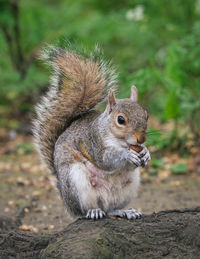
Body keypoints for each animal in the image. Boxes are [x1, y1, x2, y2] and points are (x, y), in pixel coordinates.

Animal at [32, 45, 150, 220]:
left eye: (146, 115)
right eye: (120, 120)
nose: (141, 139)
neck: (120, 141)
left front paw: (146, 153)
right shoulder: (92, 141)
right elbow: (105, 160)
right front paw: (127, 154)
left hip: (128, 188)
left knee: (110, 209)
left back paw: (124, 211)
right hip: (75, 181)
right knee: (84, 211)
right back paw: (93, 211)